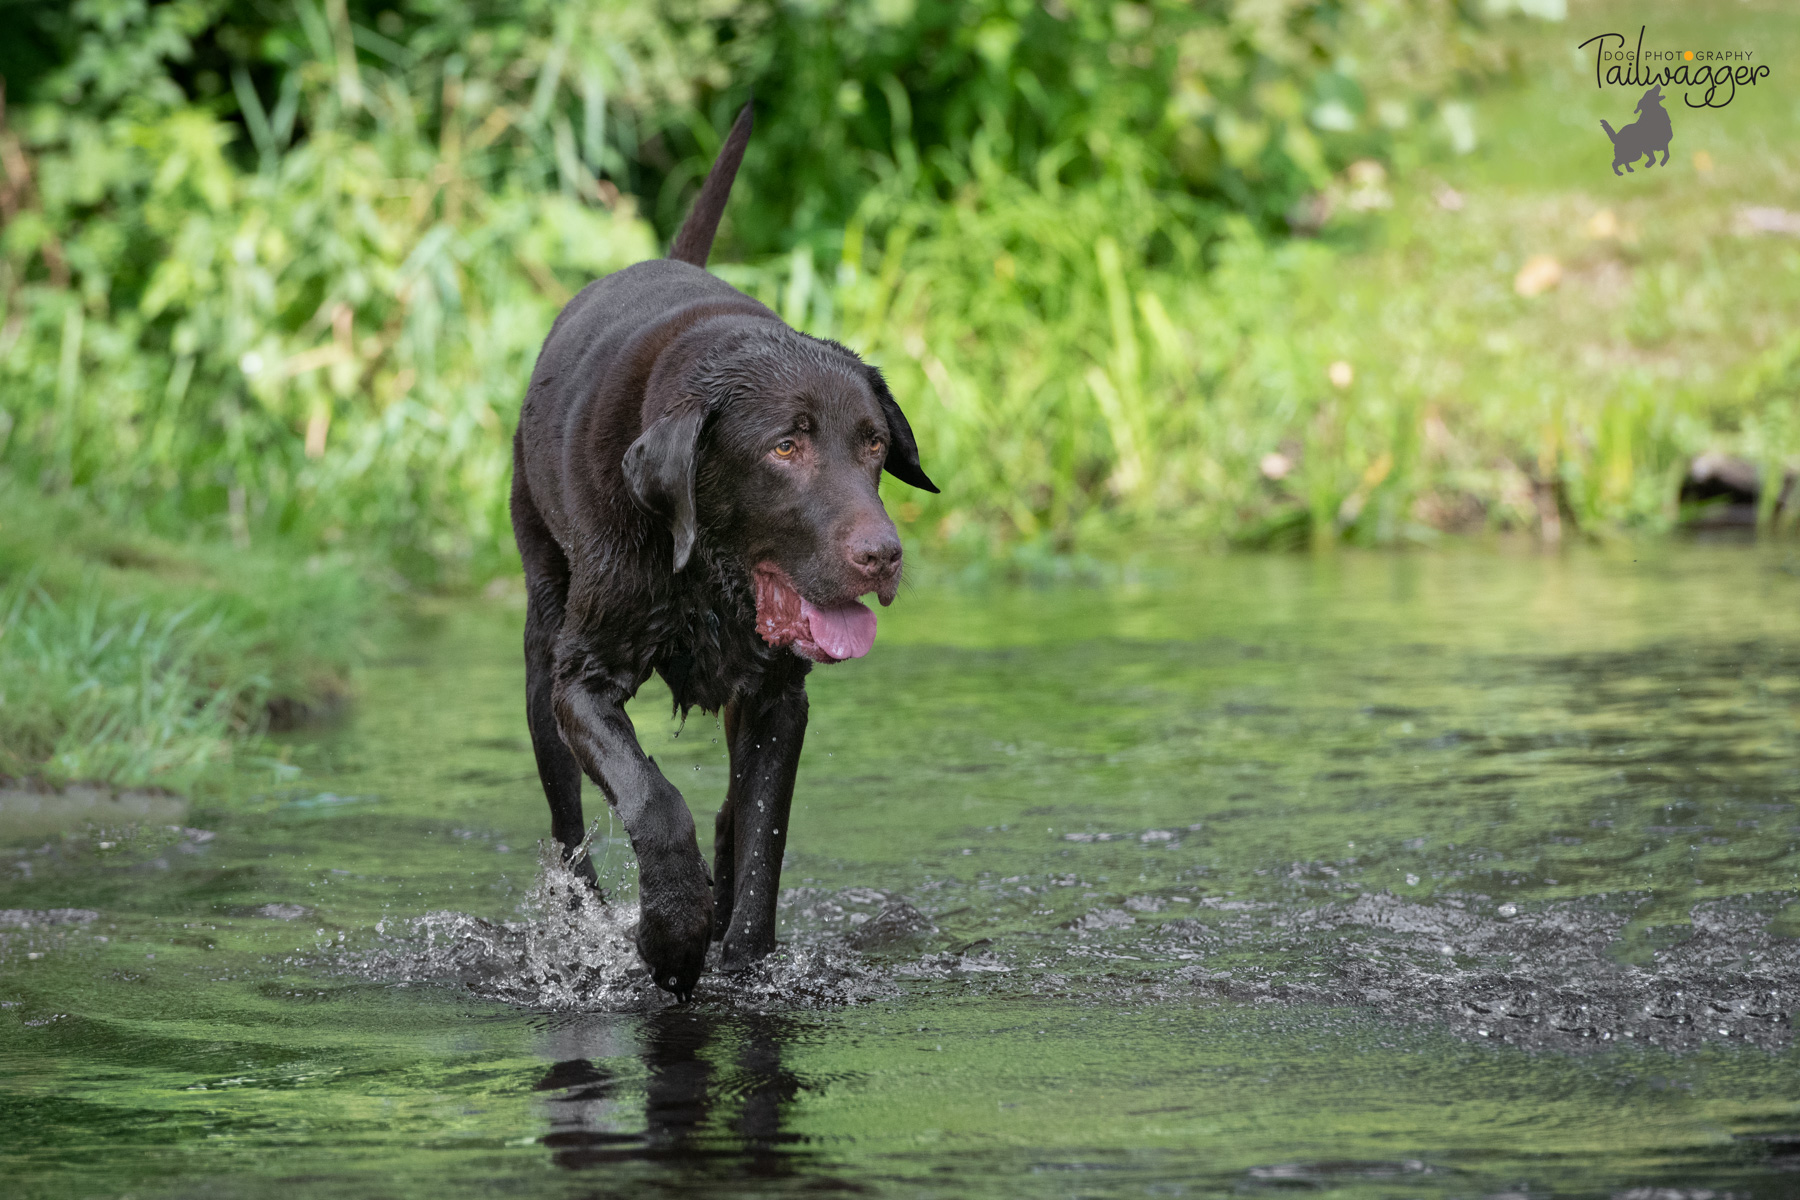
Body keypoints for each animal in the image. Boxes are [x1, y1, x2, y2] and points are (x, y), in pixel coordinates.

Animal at [504, 103, 928, 1000]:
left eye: (874, 444)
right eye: (785, 448)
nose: (884, 555)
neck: (706, 573)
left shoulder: (777, 700)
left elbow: (762, 833)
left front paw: (742, 961)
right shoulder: (581, 684)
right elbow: (654, 801)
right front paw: (671, 935)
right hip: (539, 642)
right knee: (569, 826)